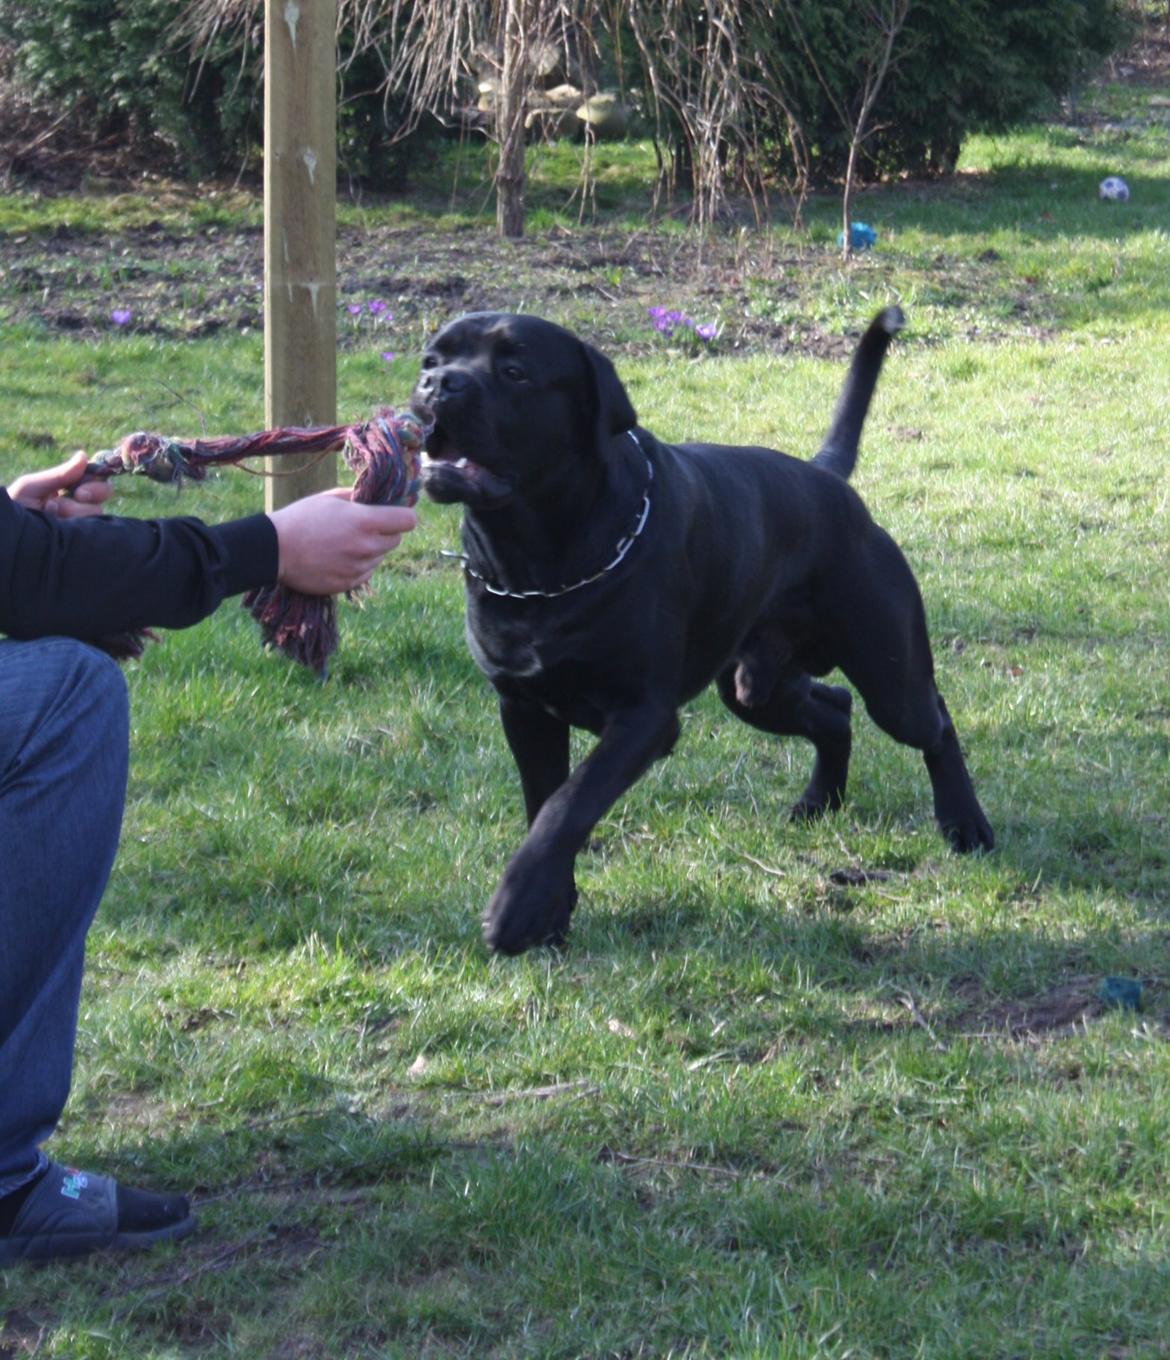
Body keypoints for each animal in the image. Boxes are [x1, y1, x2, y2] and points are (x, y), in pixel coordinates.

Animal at [416, 310, 990, 957]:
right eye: (431, 361)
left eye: (513, 371)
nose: (437, 386)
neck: (540, 568)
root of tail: (825, 478)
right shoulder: (524, 709)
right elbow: (545, 804)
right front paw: (549, 910)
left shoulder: (643, 717)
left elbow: (570, 802)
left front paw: (514, 909)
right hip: (754, 688)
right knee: (834, 710)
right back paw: (819, 803)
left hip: (890, 678)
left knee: (932, 721)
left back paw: (964, 823)